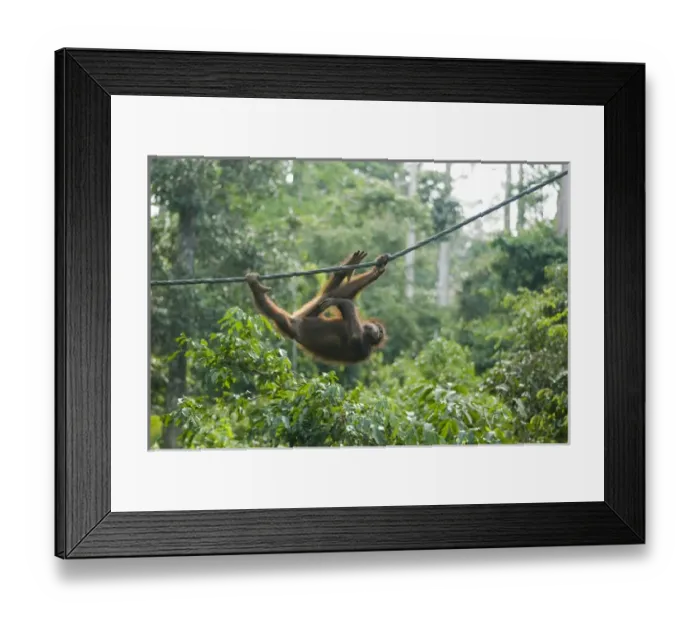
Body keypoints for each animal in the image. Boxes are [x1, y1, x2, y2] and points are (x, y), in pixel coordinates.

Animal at [244, 251, 389, 365]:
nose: (377, 331)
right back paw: (347, 268)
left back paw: (257, 289)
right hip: (305, 314)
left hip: (293, 327)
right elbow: (340, 299)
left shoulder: (364, 348)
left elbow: (354, 337)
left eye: (379, 333)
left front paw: (339, 301)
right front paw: (377, 270)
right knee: (327, 296)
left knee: (278, 316)